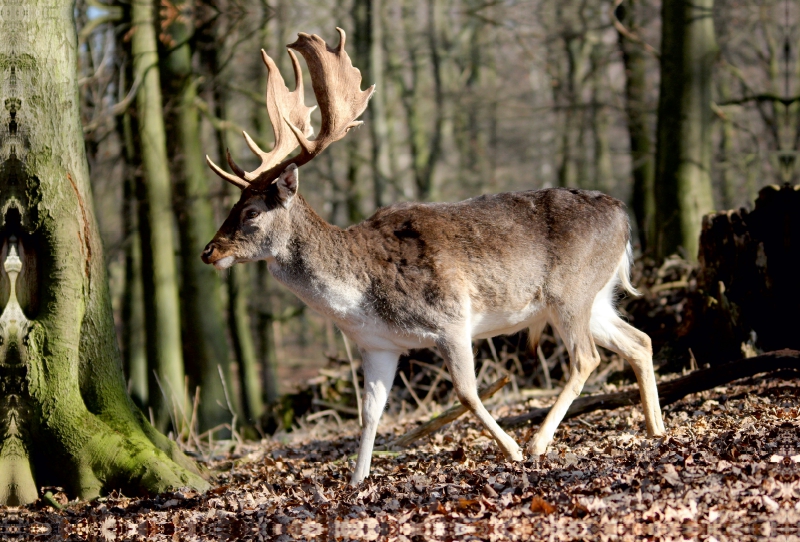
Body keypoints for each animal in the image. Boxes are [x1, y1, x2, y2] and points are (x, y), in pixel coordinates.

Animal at [200, 28, 664, 488]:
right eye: (232, 205)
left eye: (250, 212)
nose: (209, 251)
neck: (359, 299)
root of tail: (623, 216)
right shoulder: (378, 345)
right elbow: (370, 415)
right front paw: (357, 482)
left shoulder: (450, 319)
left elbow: (467, 393)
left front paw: (510, 450)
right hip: (595, 297)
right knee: (639, 341)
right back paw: (655, 427)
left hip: (570, 292)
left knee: (587, 357)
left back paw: (537, 443)